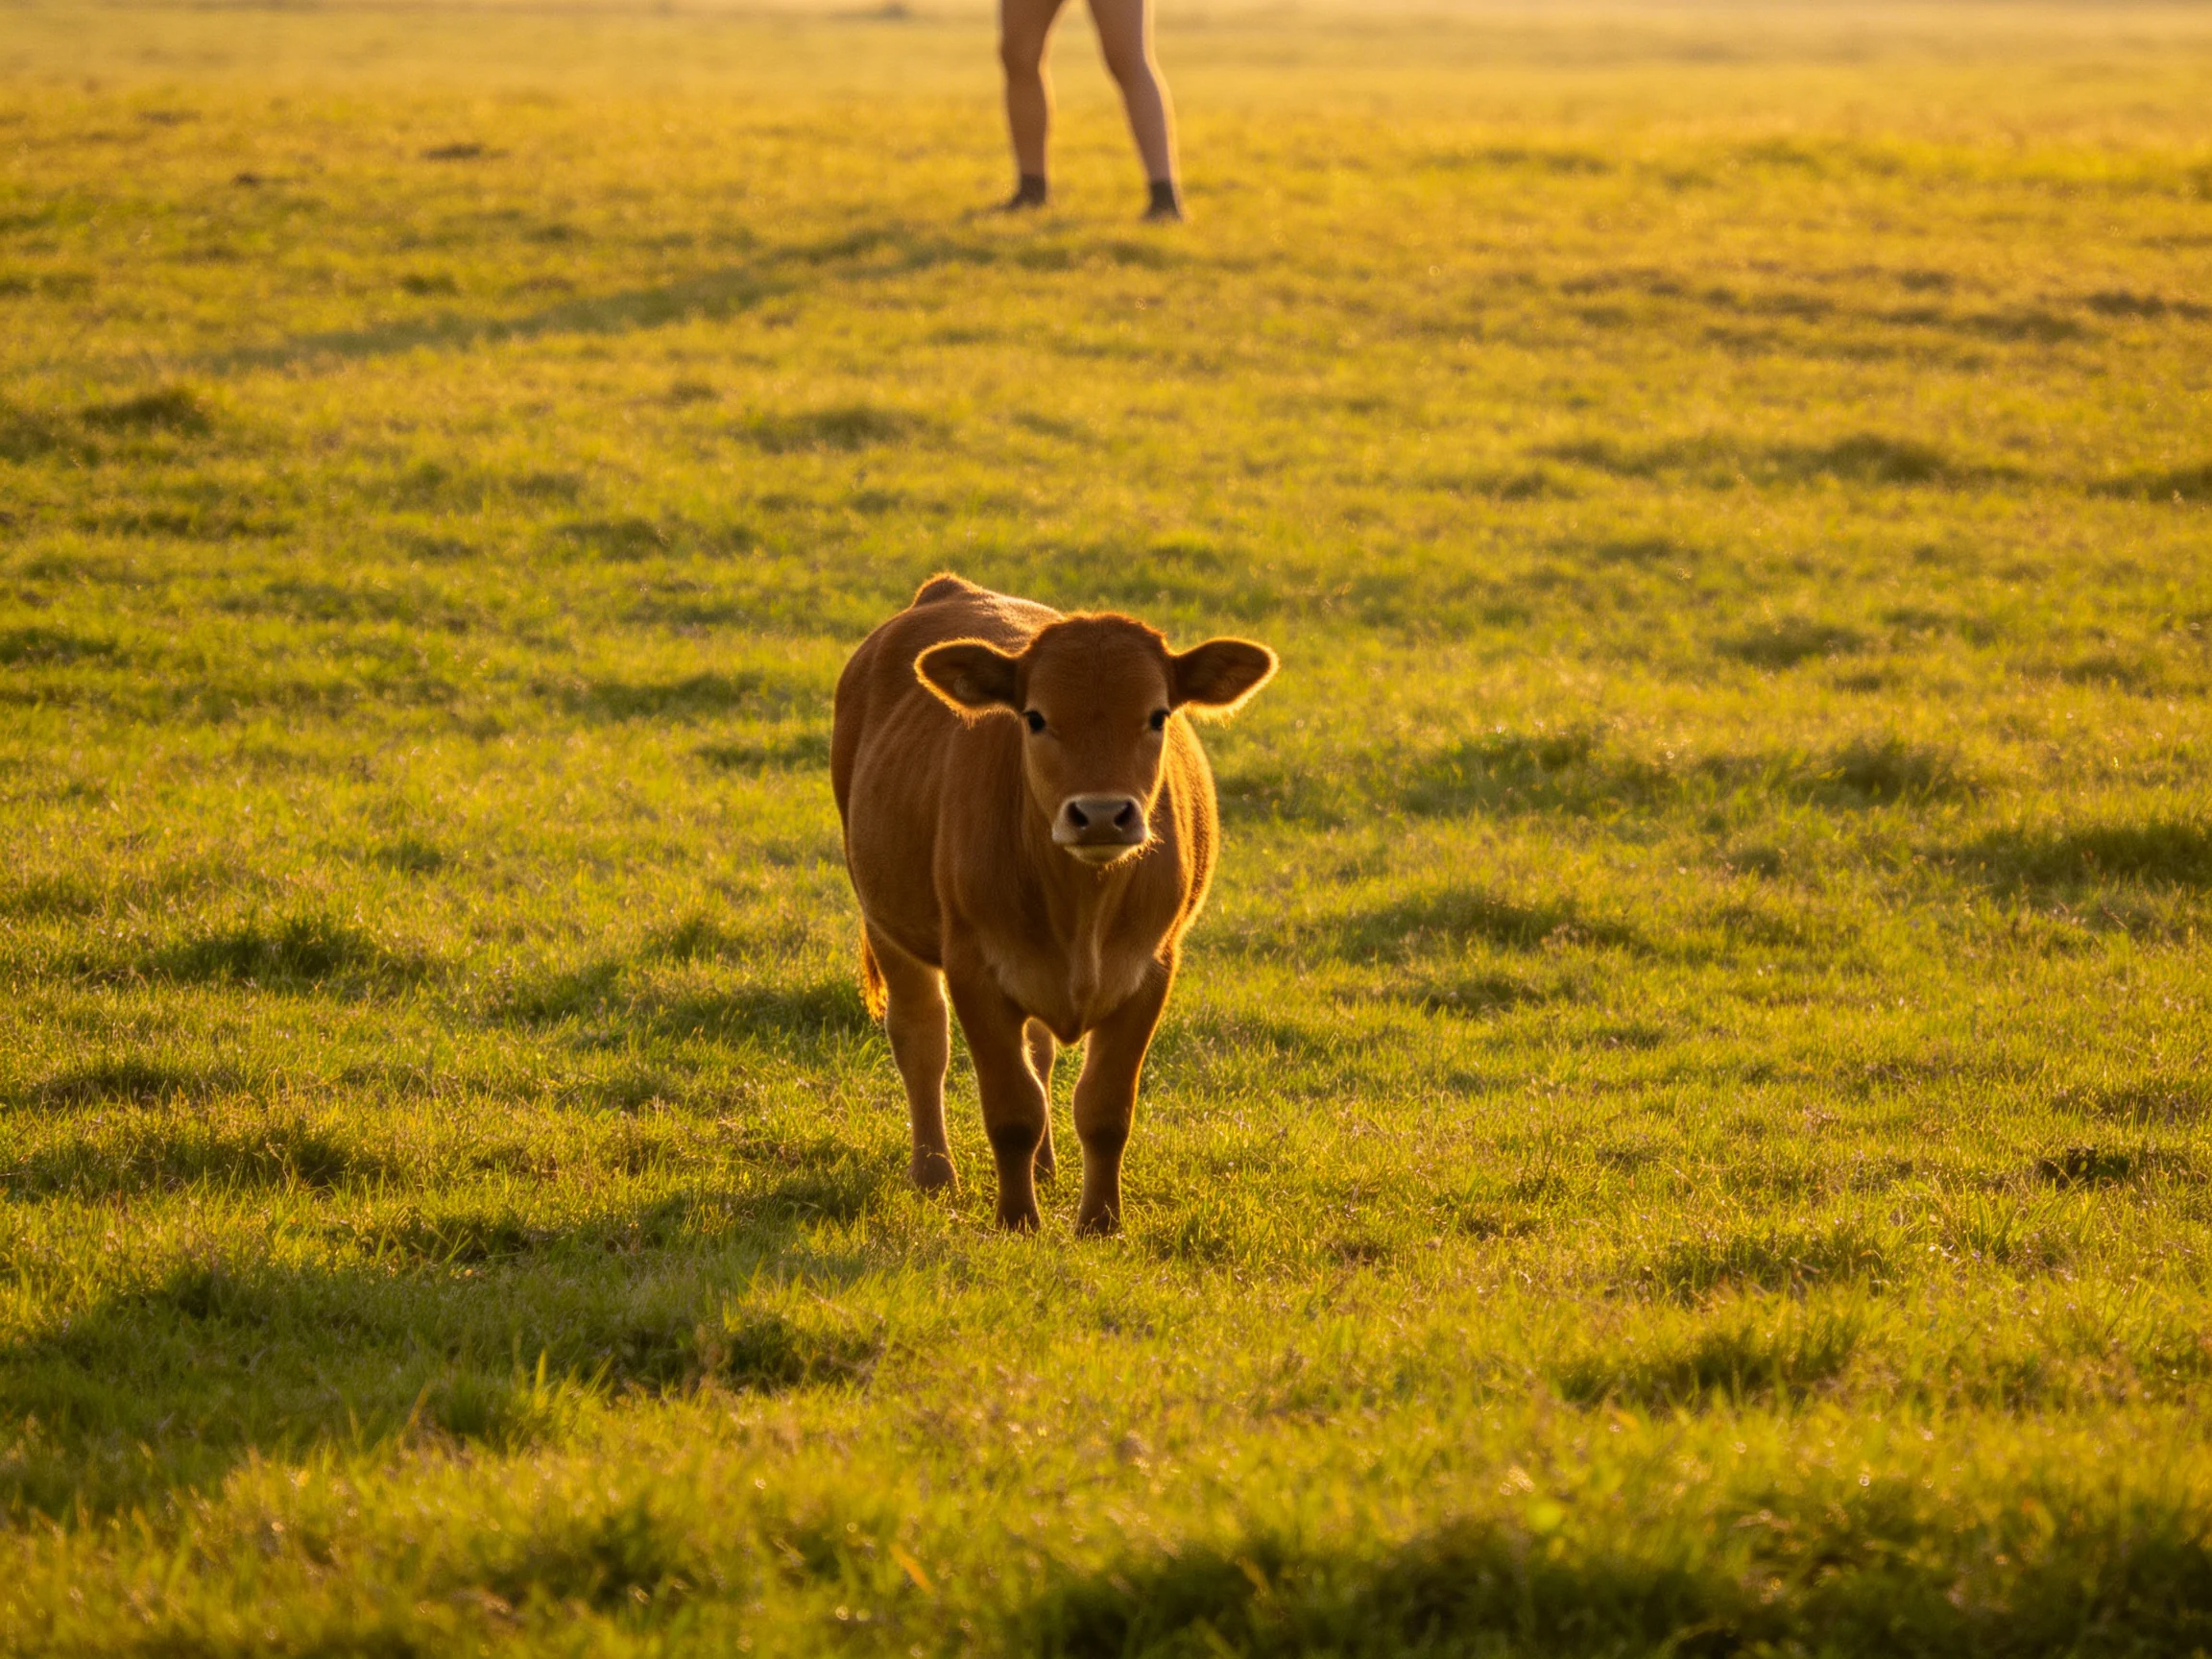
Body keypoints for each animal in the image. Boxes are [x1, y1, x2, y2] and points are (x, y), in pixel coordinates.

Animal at [830, 574, 1277, 1234]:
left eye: (1158, 715)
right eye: (1035, 717)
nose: (1101, 813)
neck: (1082, 909)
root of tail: (950, 589)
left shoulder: (1152, 968)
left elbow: (1103, 1109)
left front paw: (1100, 1223)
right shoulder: (974, 968)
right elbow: (1012, 1109)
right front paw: (1017, 1221)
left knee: (1038, 1053)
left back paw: (1043, 1168)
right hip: (885, 916)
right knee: (922, 1040)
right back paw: (934, 1175)